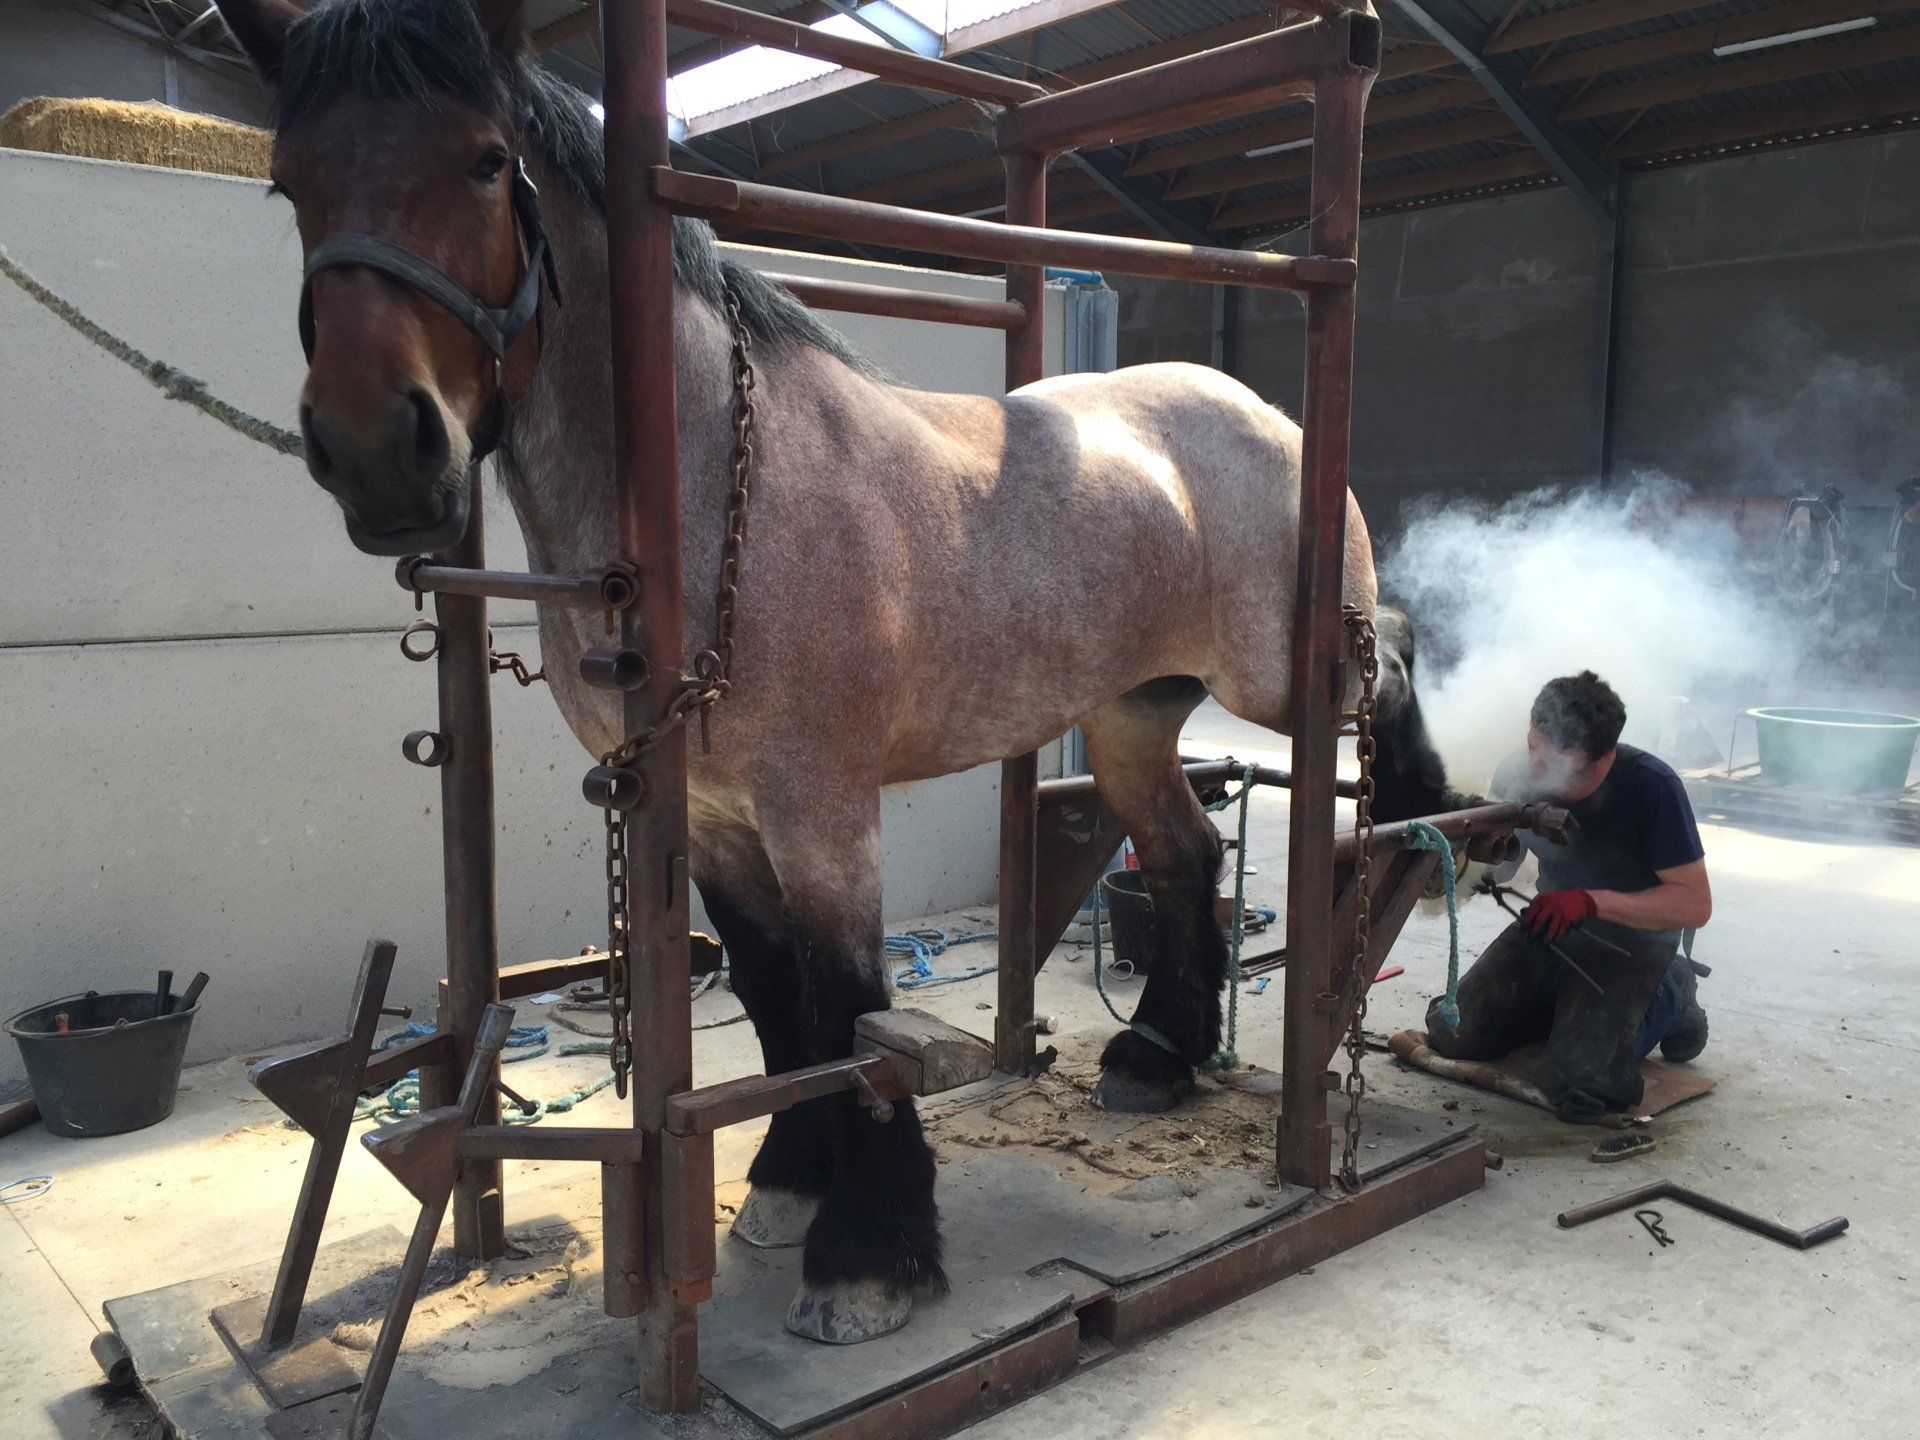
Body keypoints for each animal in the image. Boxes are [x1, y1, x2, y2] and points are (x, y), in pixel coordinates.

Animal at [215, 0, 1457, 1345]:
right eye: (288, 181)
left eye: (488, 161)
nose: (378, 454)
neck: (722, 487)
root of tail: (1259, 410)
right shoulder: (706, 815)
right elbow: (777, 1002)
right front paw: (786, 1181)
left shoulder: (821, 807)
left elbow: (855, 1007)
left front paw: (871, 1256)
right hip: (1131, 712)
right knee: (1184, 852)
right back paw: (1156, 1057)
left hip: (1280, 674)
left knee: (1387, 655)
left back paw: (1422, 811)